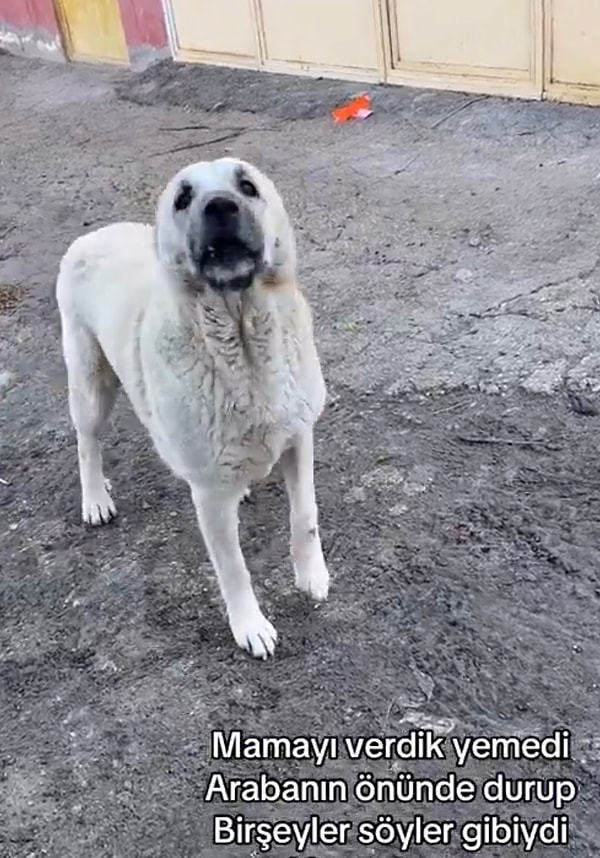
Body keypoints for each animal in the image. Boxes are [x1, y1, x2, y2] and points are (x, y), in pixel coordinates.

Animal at [55, 157, 328, 660]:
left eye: (247, 186)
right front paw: (250, 626)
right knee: (86, 441)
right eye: (183, 198)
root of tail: (93, 235)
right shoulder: (208, 495)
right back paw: (95, 497)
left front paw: (312, 577)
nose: (220, 206)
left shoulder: (299, 437)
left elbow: (305, 518)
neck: (242, 340)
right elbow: (233, 567)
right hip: (90, 381)